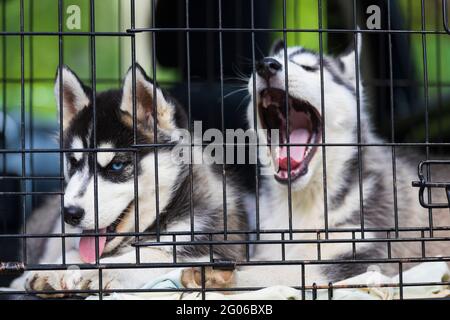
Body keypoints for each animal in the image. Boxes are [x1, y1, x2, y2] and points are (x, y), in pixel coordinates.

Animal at [11, 63, 246, 296]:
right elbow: (74, 252)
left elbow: (153, 256)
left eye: (116, 165)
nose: (70, 214)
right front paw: (55, 270)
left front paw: (101, 272)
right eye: (74, 162)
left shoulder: (214, 245)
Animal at [241, 40, 450, 288]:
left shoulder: (360, 253)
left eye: (309, 68)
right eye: (272, 59)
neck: (302, 203)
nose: (266, 65)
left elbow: (263, 273)